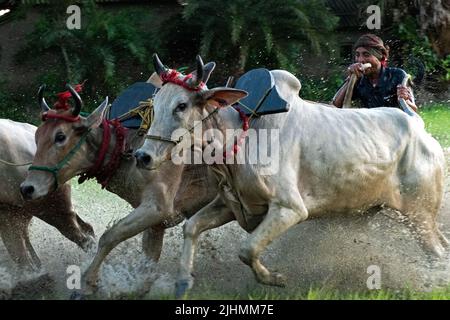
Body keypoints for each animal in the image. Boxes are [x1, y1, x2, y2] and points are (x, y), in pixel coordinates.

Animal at [136, 55, 446, 298]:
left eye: (181, 106)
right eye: (155, 104)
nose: (143, 156)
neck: (240, 138)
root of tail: (420, 129)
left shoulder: (290, 209)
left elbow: (247, 249)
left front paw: (275, 278)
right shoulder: (229, 205)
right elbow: (191, 227)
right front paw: (183, 282)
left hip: (419, 214)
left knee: (438, 253)